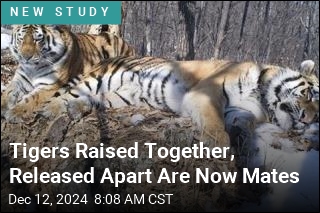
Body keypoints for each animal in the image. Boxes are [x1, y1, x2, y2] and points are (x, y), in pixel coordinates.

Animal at [0, 24, 135, 122]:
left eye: (38, 39)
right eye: (21, 38)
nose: (25, 57)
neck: (33, 68)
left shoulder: (49, 85)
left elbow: (31, 99)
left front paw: (14, 112)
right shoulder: (19, 79)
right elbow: (7, 93)